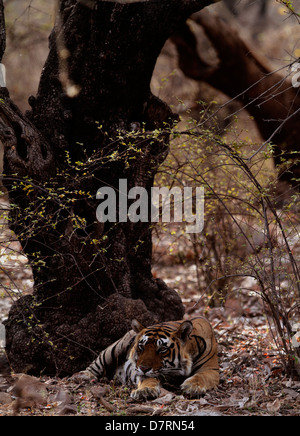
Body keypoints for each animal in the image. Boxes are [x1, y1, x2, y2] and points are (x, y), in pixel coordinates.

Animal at [83, 316, 219, 400]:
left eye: (162, 349)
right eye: (141, 347)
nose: (143, 368)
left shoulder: (211, 369)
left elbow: (201, 376)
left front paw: (192, 386)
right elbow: (148, 379)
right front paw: (145, 391)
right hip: (116, 347)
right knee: (98, 361)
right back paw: (84, 376)